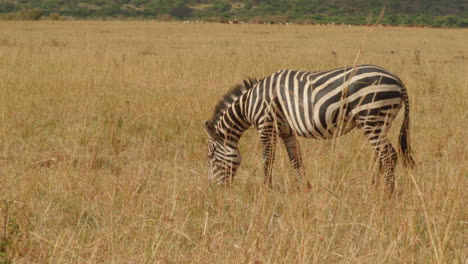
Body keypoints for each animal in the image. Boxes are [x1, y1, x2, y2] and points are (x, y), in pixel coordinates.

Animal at [203, 64, 414, 192]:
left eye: (210, 157)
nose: (213, 189)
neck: (249, 105)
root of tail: (397, 79)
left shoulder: (266, 125)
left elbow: (267, 159)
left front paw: (266, 188)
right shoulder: (286, 130)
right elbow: (295, 160)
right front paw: (305, 187)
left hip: (372, 117)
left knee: (388, 154)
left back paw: (387, 193)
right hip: (378, 122)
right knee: (383, 155)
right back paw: (375, 188)